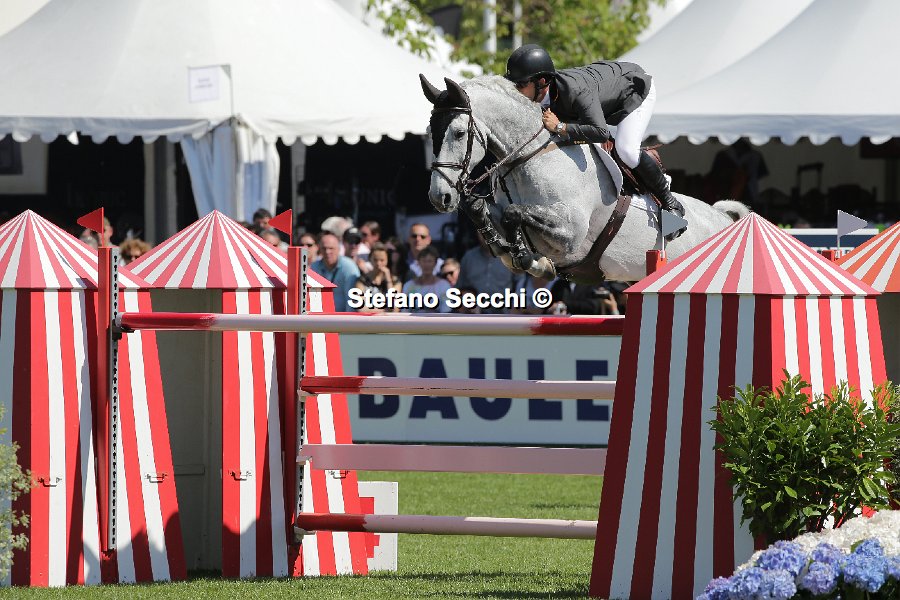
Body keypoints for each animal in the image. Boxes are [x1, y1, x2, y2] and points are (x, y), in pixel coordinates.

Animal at [420, 74, 750, 283]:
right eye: (429, 132)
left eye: (458, 133)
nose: (439, 197)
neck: (530, 157)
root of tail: (725, 218)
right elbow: (488, 216)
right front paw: (517, 253)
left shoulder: (571, 231)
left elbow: (514, 214)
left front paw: (533, 261)